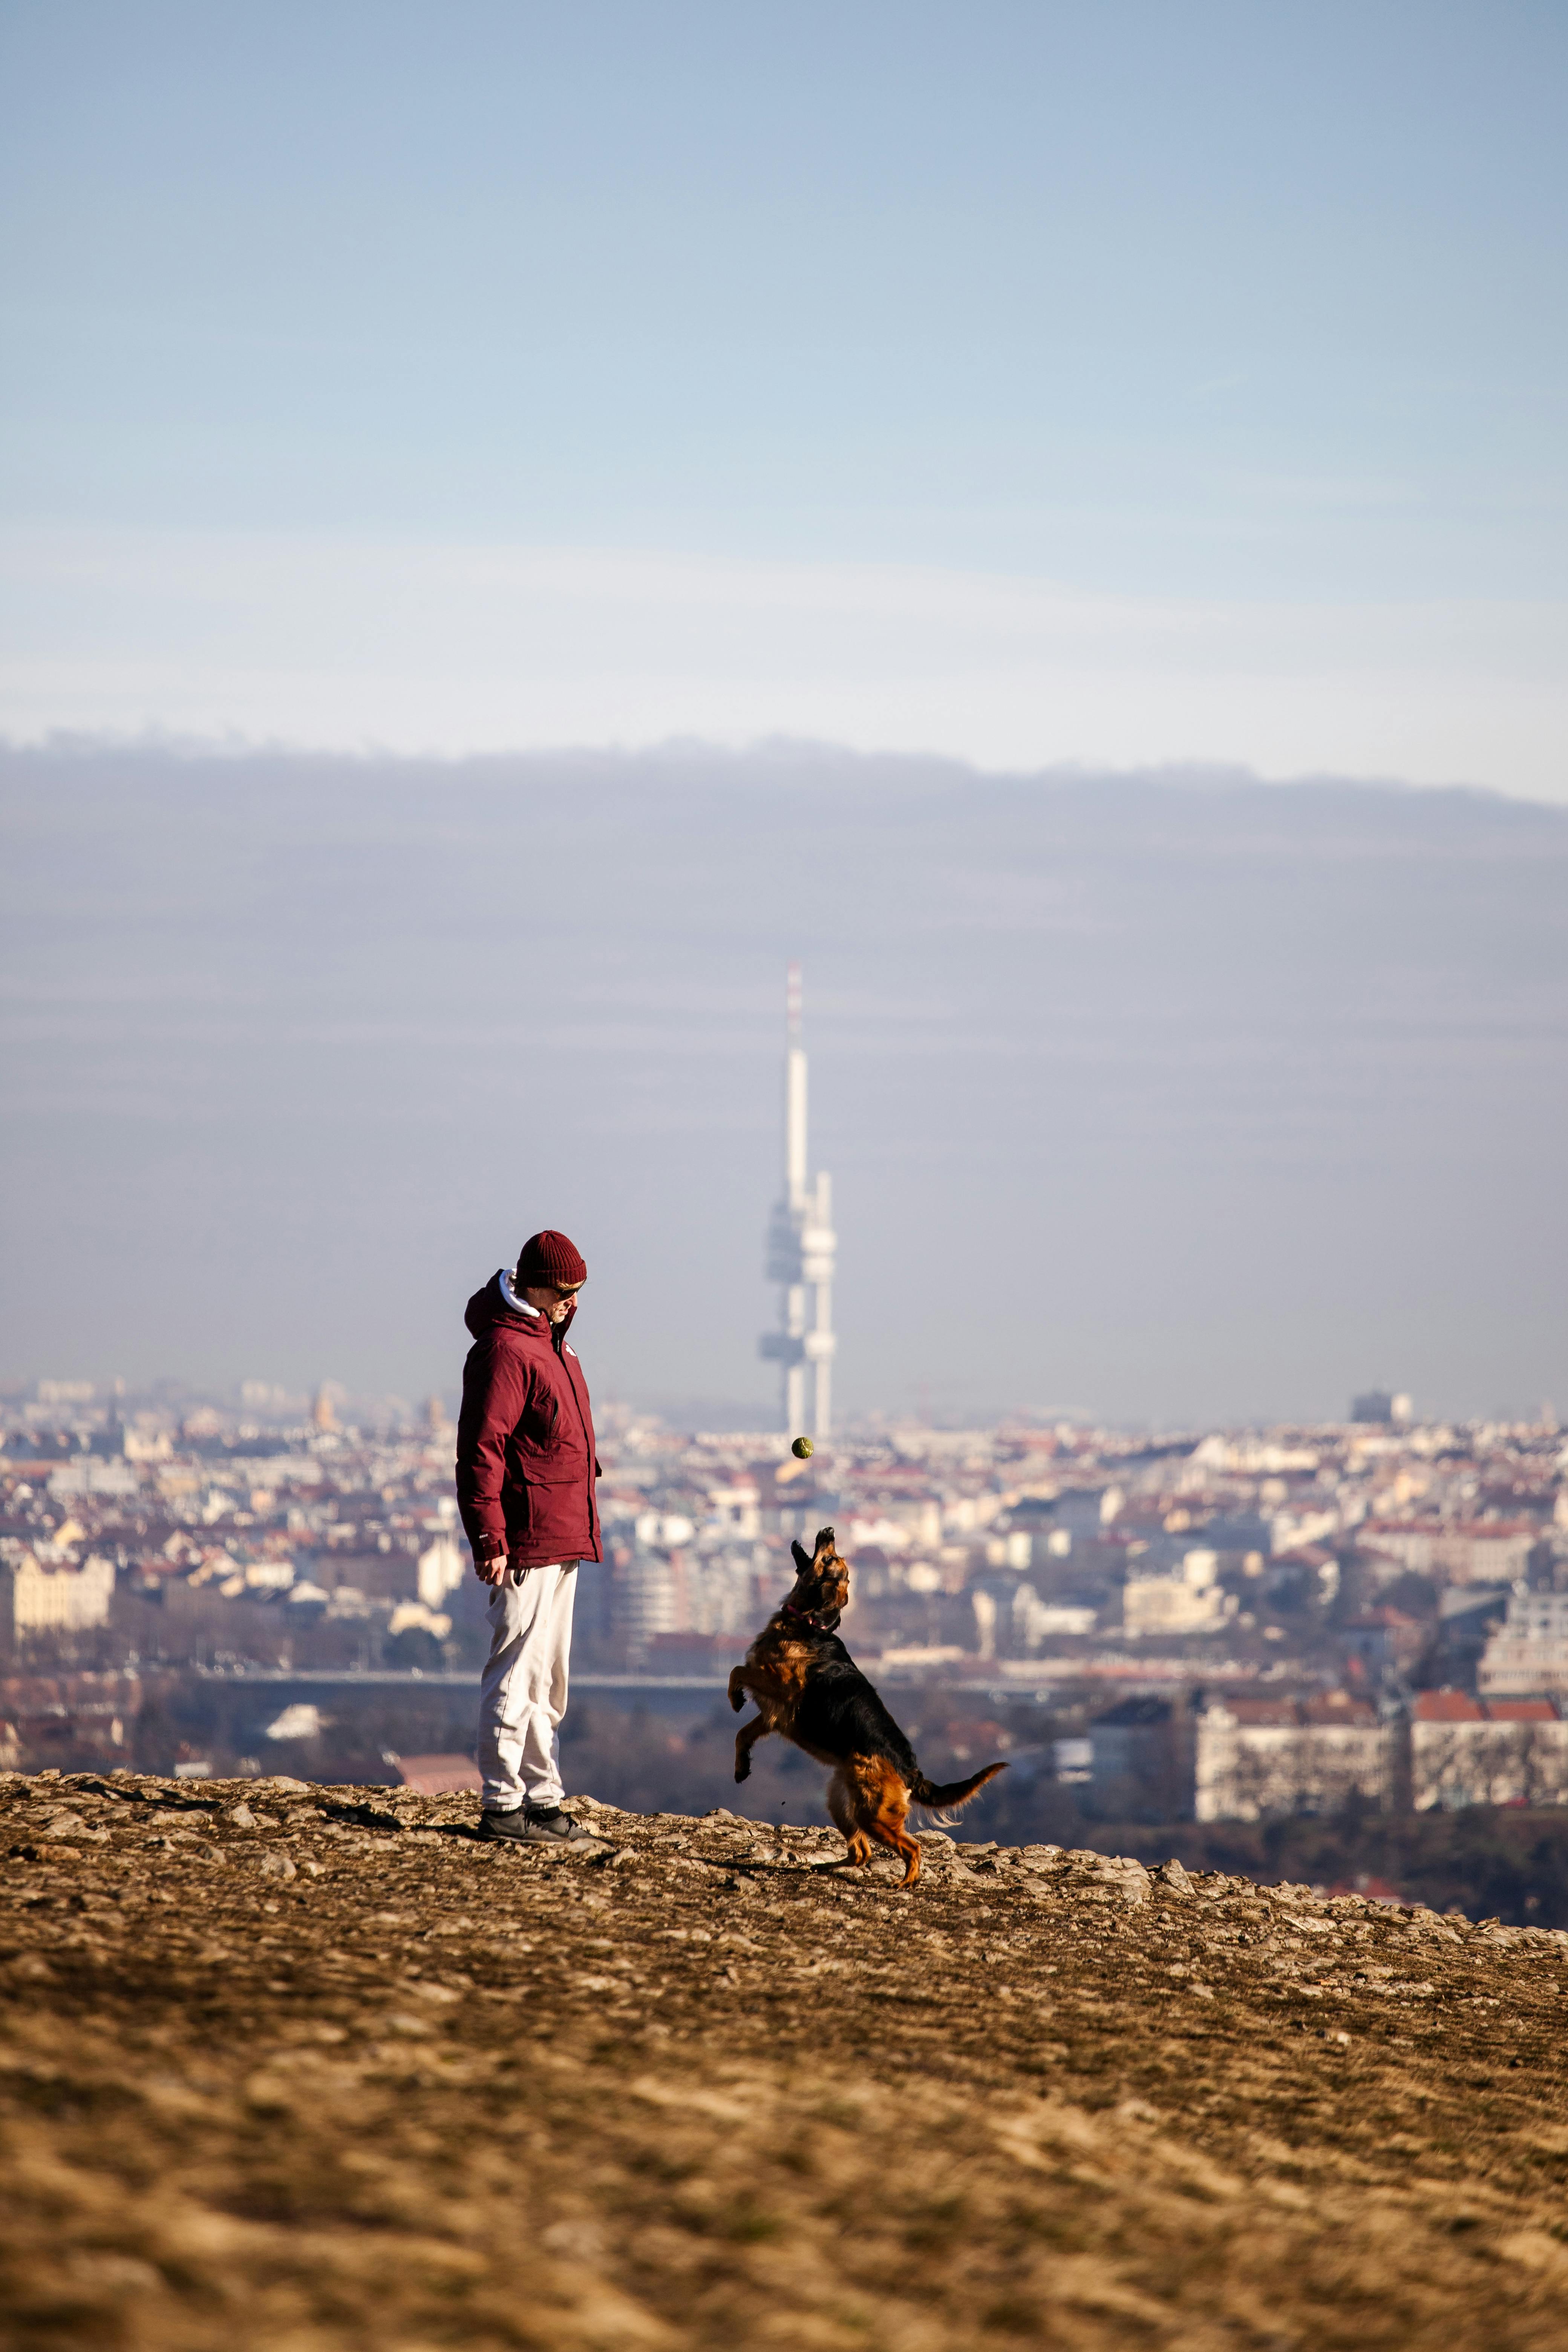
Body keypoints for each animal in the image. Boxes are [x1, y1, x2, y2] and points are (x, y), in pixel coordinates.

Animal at [729, 1524, 1011, 1891]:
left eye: (829, 1559)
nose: (829, 1530)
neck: (810, 1623)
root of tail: (911, 1772)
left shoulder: (781, 1688)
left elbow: (737, 1672)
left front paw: (736, 1698)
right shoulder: (772, 1716)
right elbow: (742, 1734)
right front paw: (741, 1767)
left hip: (871, 1813)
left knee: (910, 1847)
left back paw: (906, 1883)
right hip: (842, 1801)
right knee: (861, 1852)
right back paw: (824, 1867)